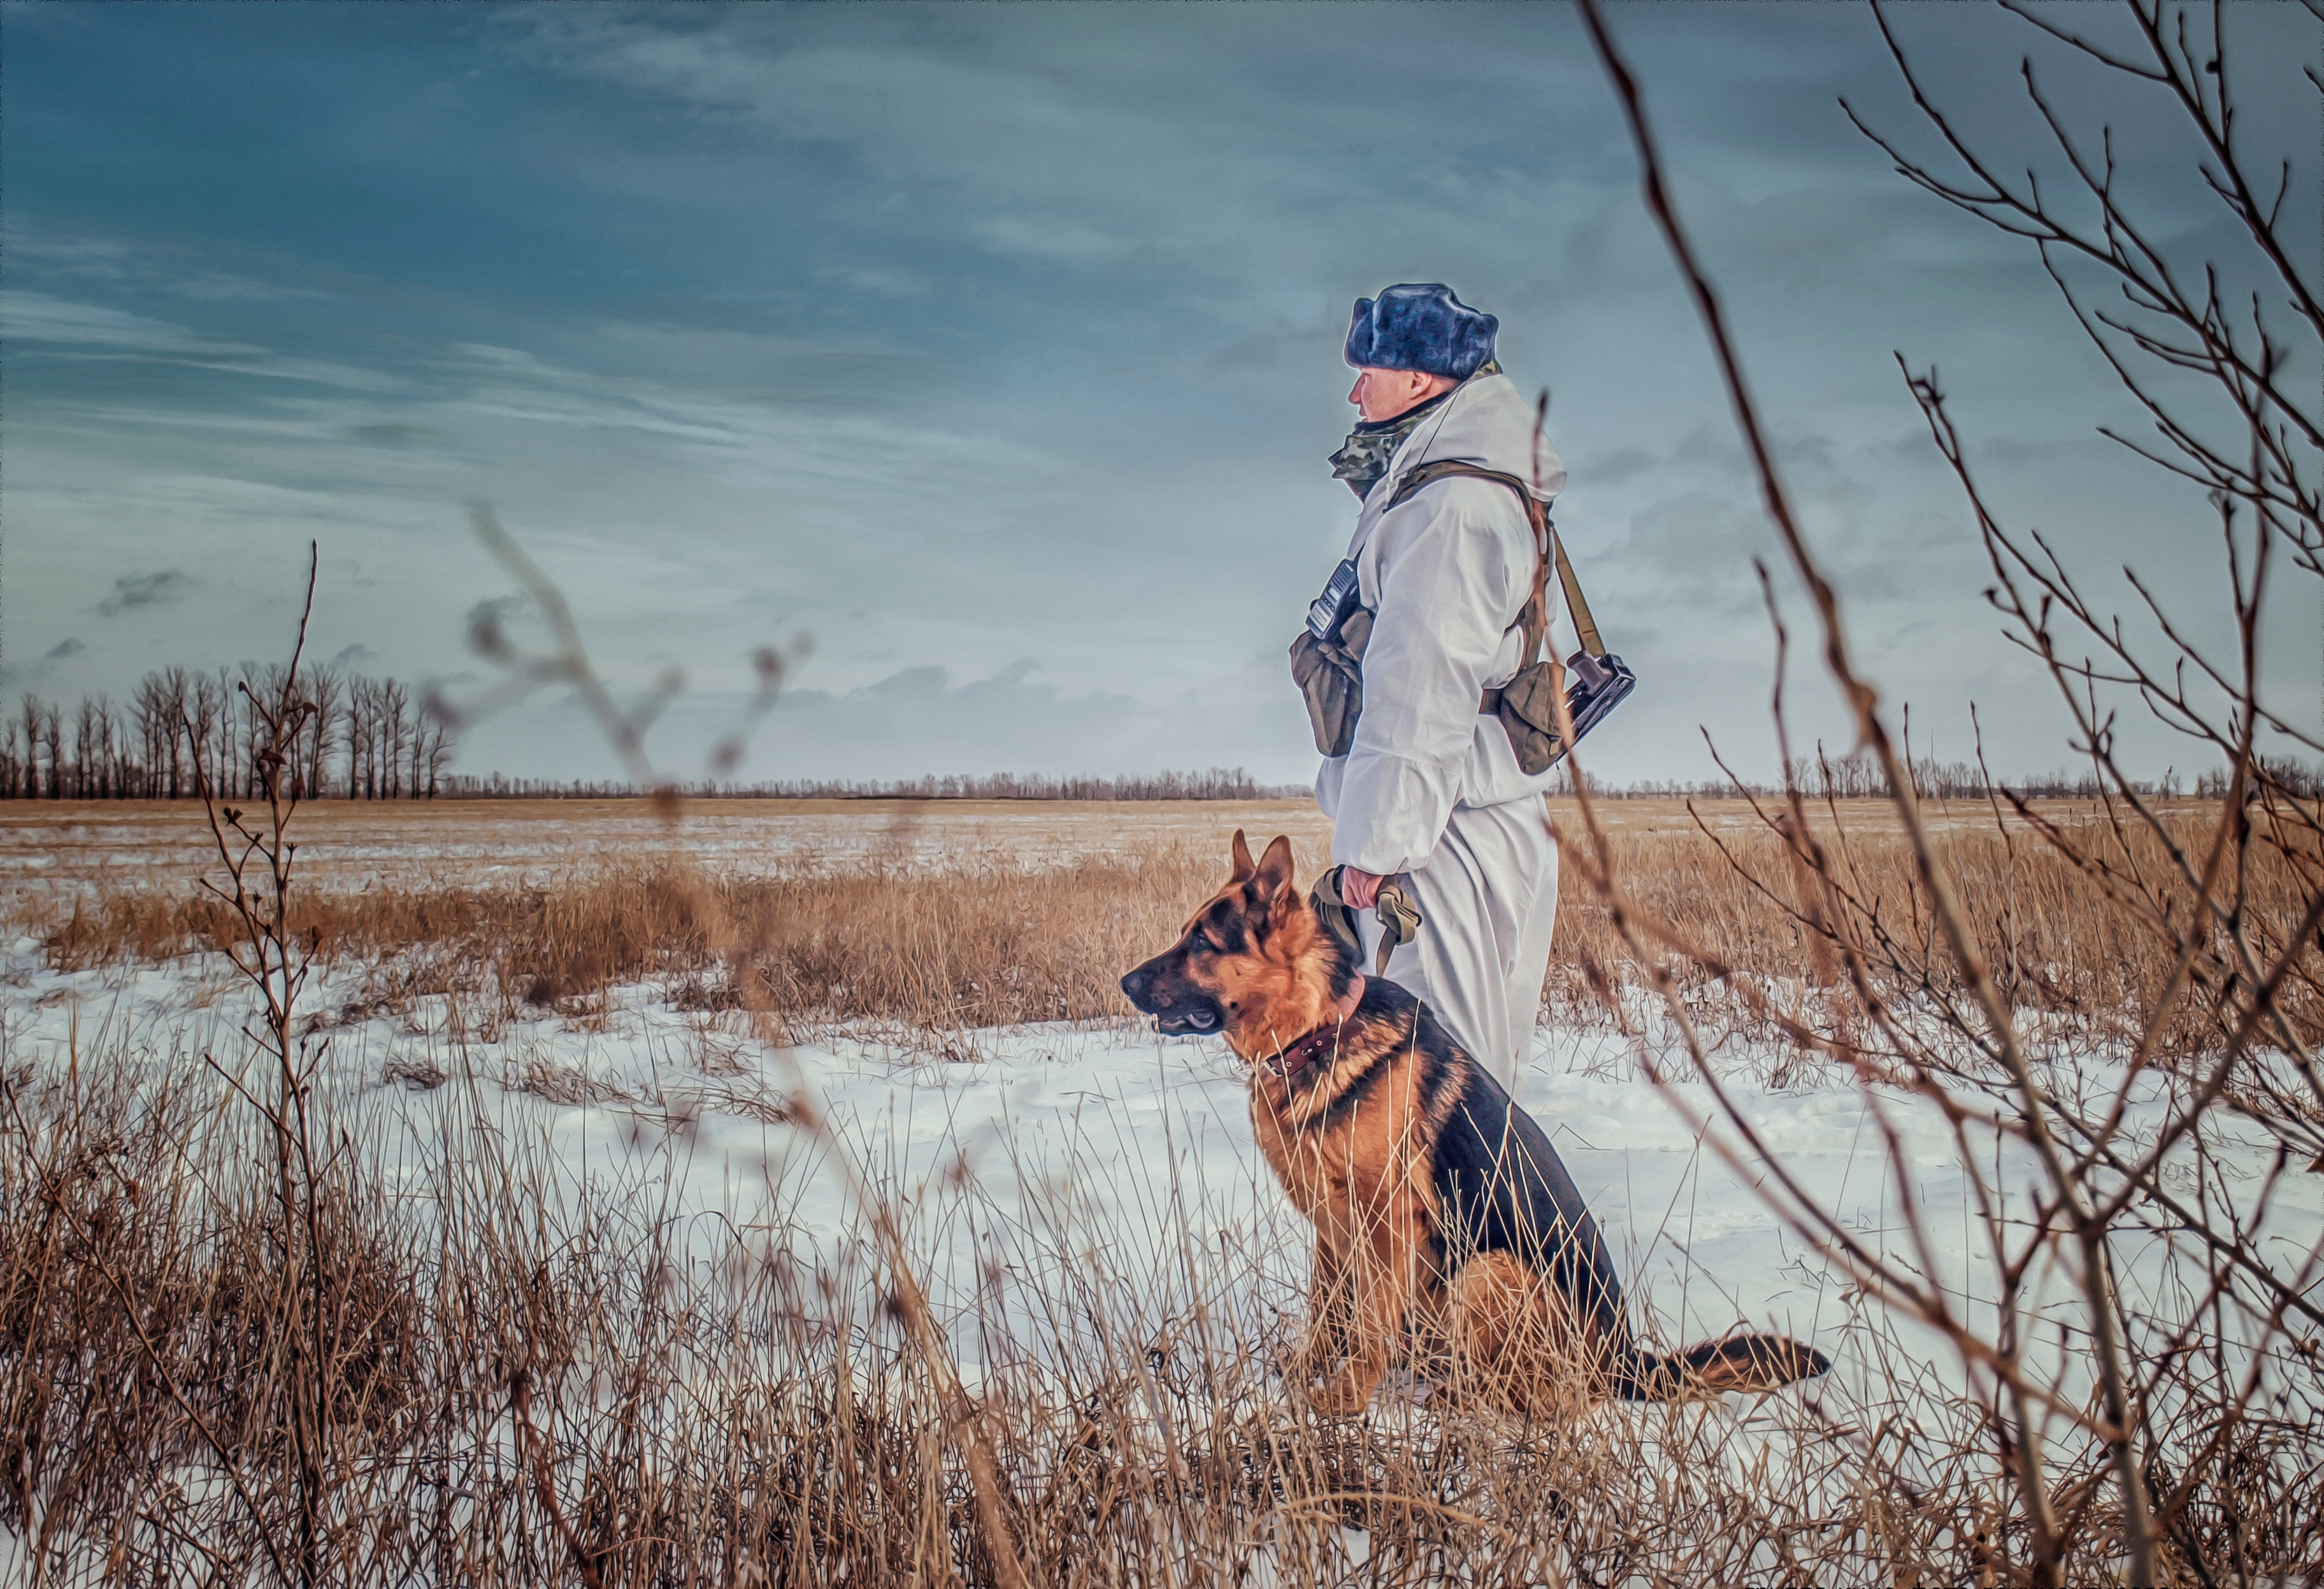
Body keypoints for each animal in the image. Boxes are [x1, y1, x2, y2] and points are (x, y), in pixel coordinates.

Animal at [1115, 831, 1822, 1412]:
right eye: (1185, 933)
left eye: (1202, 943)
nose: (1124, 982)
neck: (1320, 1031)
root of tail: (1626, 1361)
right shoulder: (1331, 1227)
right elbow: (1328, 1312)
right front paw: (1307, 1373)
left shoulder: (1386, 1223)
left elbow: (1367, 1325)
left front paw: (1343, 1400)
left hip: (1486, 1270)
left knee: (1551, 1400)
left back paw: (1461, 1398)